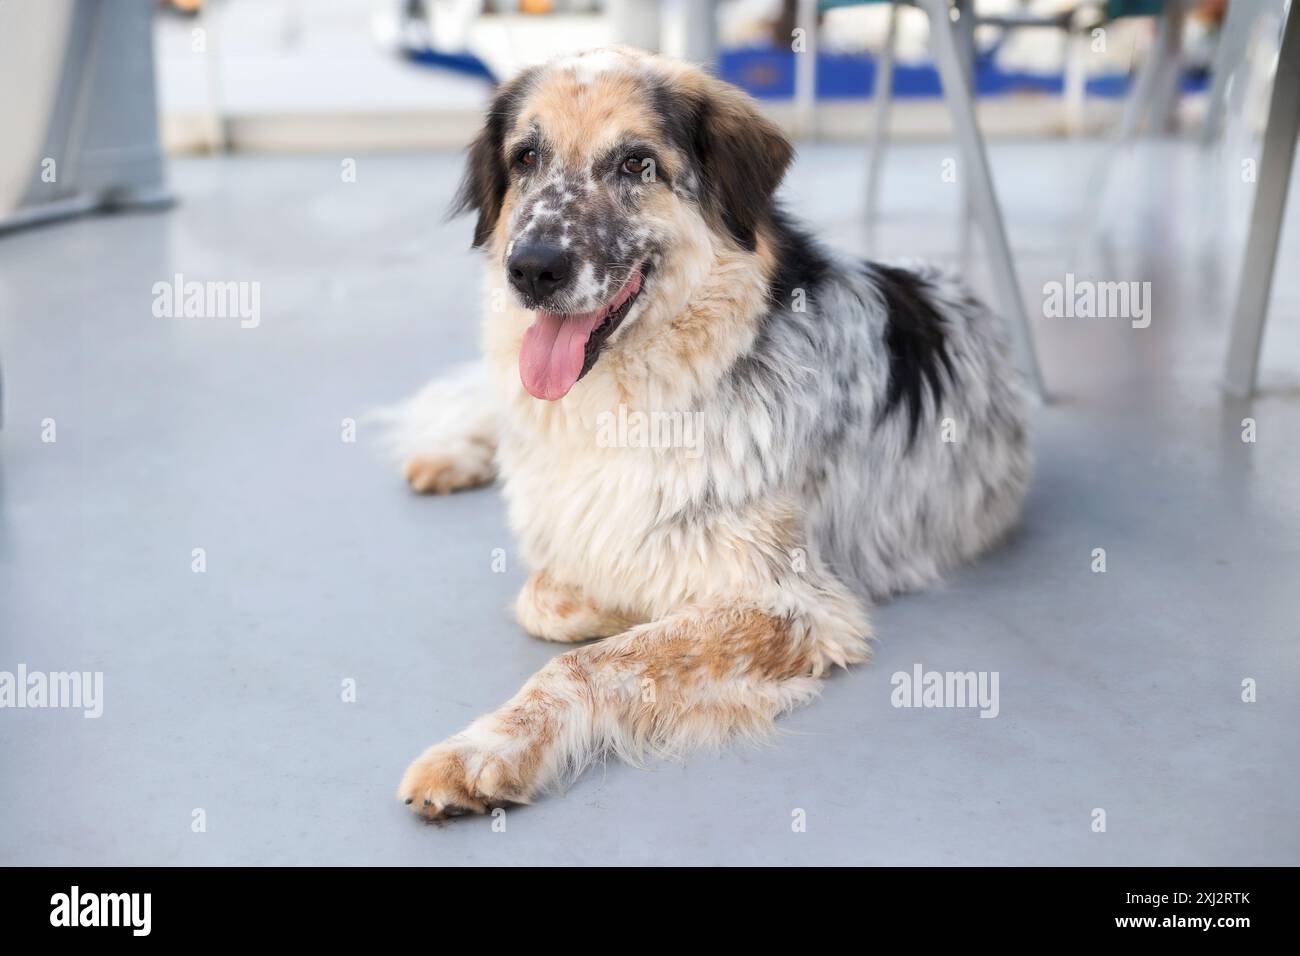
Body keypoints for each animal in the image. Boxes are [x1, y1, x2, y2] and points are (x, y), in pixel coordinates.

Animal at [390, 48, 1029, 816]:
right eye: (526, 158)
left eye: (636, 164)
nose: (532, 269)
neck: (627, 401)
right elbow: (544, 594)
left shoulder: (792, 604)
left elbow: (584, 658)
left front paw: (486, 746)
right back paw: (447, 457)